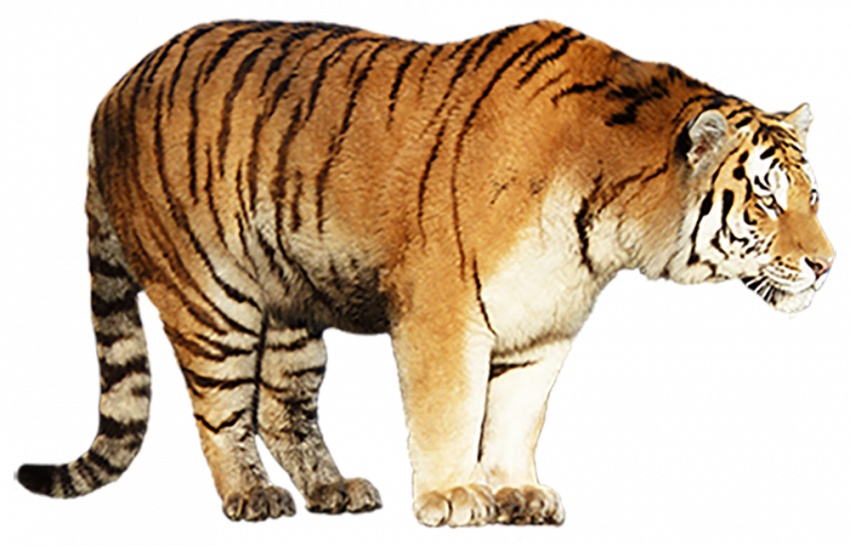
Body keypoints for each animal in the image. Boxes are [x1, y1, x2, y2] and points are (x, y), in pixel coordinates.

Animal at [13, 16, 834, 529]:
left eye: (812, 197)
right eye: (765, 198)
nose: (825, 265)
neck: (607, 223)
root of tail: (117, 88)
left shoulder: (543, 328)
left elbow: (515, 417)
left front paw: (517, 493)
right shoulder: (445, 309)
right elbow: (452, 410)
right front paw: (452, 497)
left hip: (292, 305)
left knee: (282, 407)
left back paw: (334, 489)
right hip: (213, 295)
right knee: (219, 410)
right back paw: (251, 495)